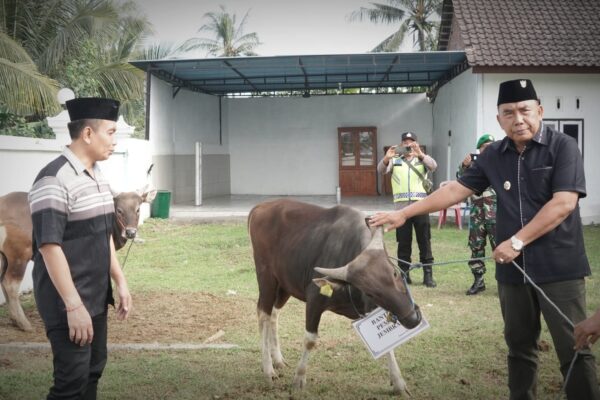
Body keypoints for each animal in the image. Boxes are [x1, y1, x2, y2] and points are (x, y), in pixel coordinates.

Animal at [0, 188, 155, 332]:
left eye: (138, 209)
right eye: (119, 210)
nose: (131, 232)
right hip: (19, 257)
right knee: (10, 285)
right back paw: (23, 323)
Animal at [248, 198, 422, 396]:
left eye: (394, 273)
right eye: (370, 291)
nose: (413, 318)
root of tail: (261, 206)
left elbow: (386, 343)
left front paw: (399, 383)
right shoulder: (314, 299)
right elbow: (310, 340)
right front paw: (299, 378)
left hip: (285, 284)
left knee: (274, 314)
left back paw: (277, 359)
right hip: (266, 277)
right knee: (263, 314)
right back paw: (268, 369)